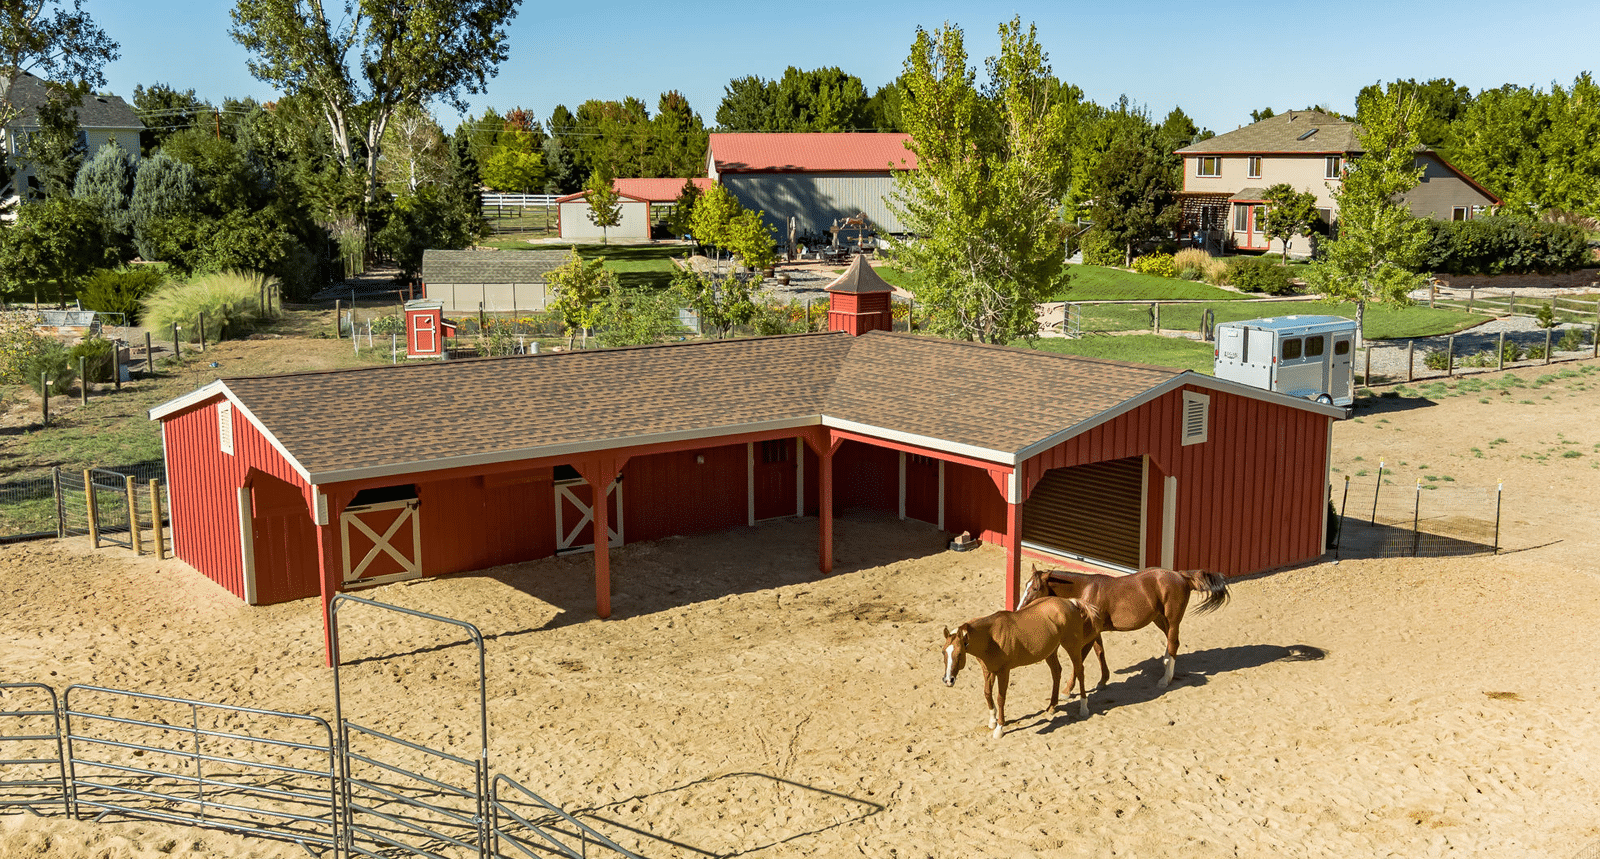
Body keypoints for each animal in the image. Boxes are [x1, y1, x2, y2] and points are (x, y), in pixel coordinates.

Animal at [941, 596, 1106, 738]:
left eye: (960, 653)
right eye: (943, 651)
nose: (948, 680)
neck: (991, 637)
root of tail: (1070, 602)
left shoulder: (1003, 672)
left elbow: (1000, 698)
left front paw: (999, 729)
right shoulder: (988, 670)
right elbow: (987, 693)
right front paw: (992, 721)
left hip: (1072, 647)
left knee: (1079, 671)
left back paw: (1083, 708)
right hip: (1050, 652)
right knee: (1056, 672)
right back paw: (1052, 707)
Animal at [1016, 564, 1230, 689]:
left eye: (1035, 588)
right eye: (1025, 585)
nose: (1018, 608)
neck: (1085, 590)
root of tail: (1181, 576)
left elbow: (1081, 659)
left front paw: (1068, 690)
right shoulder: (1095, 631)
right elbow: (1100, 652)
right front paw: (1103, 680)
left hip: (1173, 618)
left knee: (1174, 644)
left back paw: (1165, 680)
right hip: (1160, 619)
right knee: (1171, 642)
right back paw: (1165, 664)